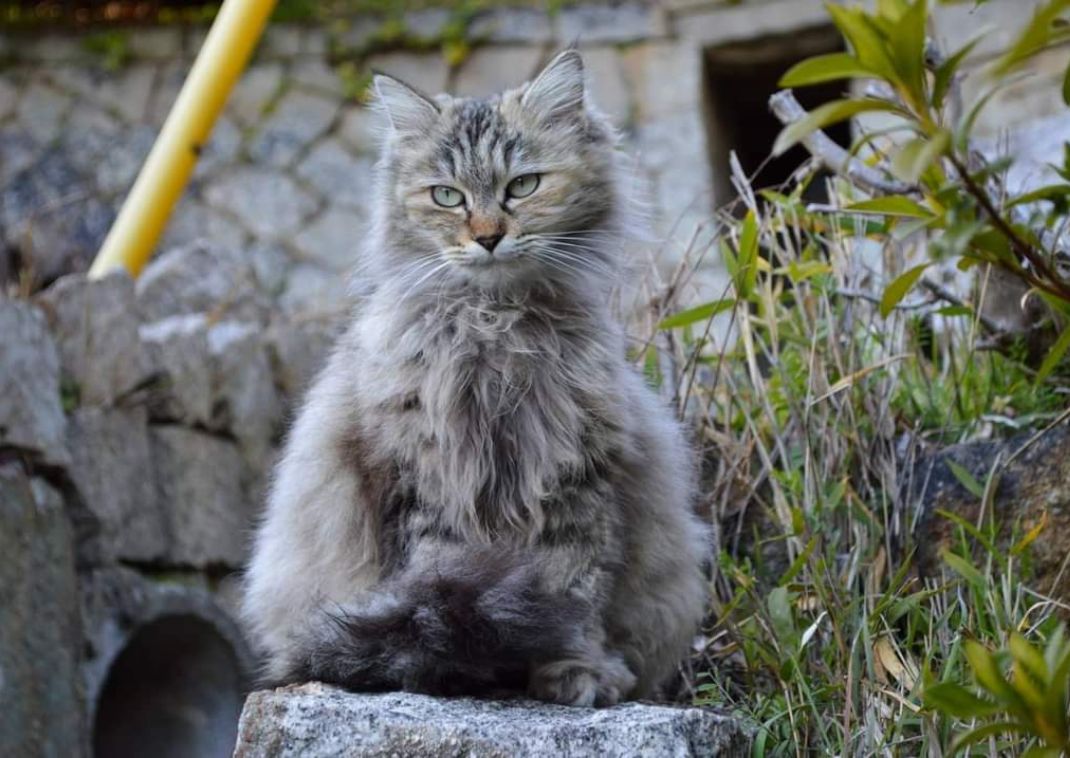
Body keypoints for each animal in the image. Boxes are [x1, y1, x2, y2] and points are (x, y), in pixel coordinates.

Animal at [242, 51, 710, 706]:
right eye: (447, 196)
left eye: (523, 186)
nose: (488, 237)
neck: (497, 331)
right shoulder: (430, 480)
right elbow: (439, 585)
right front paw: (462, 667)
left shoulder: (577, 478)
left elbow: (576, 593)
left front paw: (576, 670)